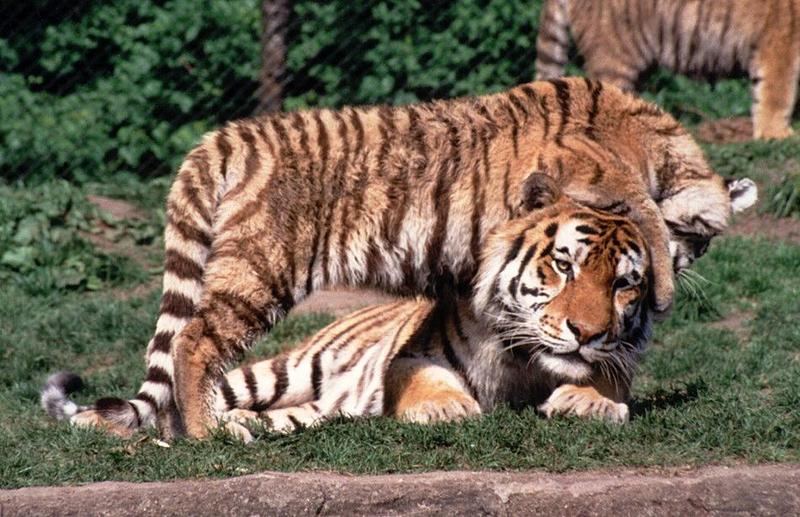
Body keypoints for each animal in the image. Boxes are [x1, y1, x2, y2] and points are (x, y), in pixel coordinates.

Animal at [42, 77, 756, 440]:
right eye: (700, 241)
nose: (672, 284)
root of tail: (228, 135)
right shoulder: (590, 167)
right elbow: (638, 210)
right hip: (258, 270)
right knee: (192, 342)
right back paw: (208, 434)